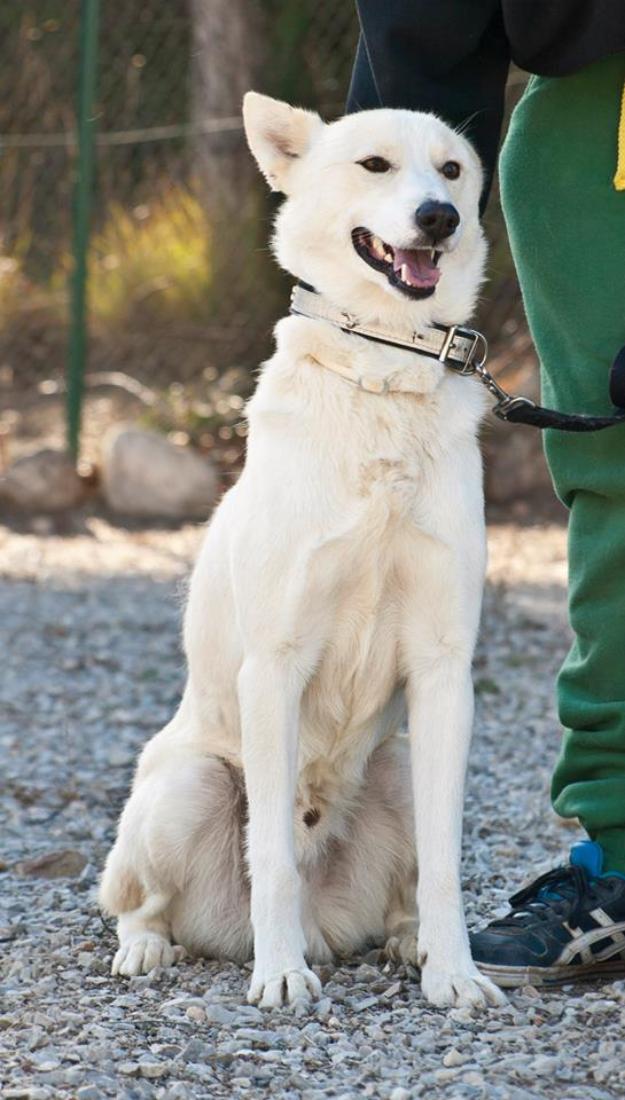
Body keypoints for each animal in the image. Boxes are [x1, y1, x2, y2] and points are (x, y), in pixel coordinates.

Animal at [100, 90, 506, 1007]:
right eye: (375, 165)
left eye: (452, 169)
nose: (438, 216)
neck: (383, 371)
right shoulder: (276, 663)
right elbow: (275, 860)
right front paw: (280, 976)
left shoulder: (443, 670)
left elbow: (445, 864)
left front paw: (454, 975)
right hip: (186, 783)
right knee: (144, 903)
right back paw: (152, 950)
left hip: (398, 763)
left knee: (403, 887)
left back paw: (406, 945)